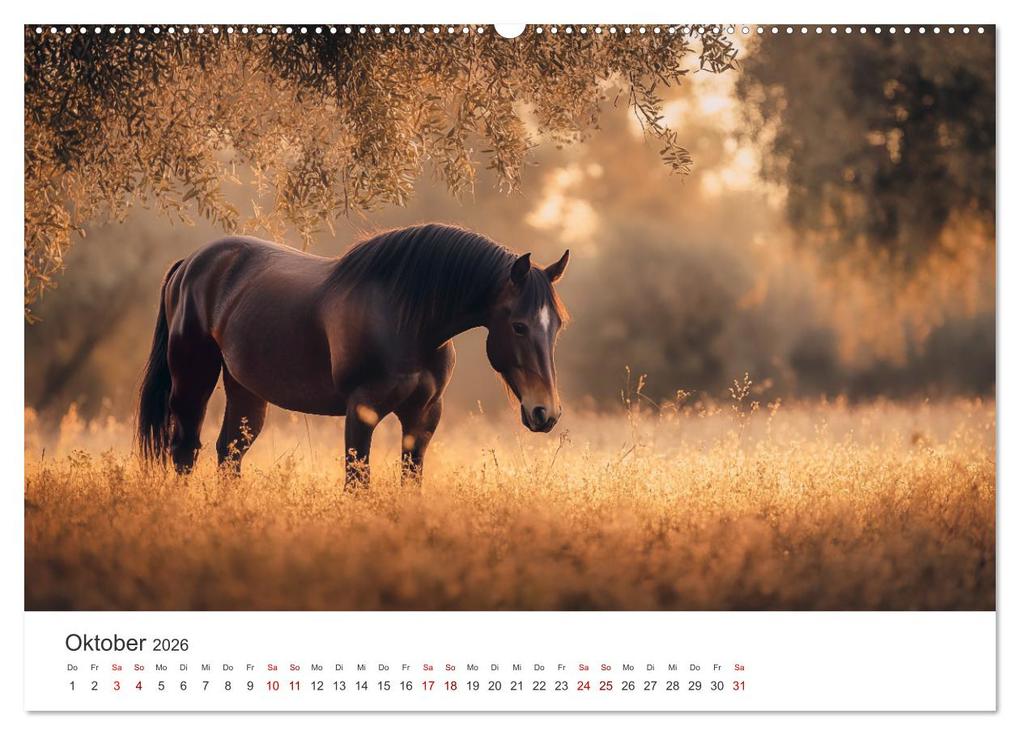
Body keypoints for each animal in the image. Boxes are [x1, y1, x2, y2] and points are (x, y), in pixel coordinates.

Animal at [137, 223, 570, 487]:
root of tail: (189, 264)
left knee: (229, 454)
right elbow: (356, 482)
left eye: (557, 327)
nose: (545, 413)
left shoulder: (423, 416)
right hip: (192, 379)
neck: (407, 318)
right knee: (185, 451)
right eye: (519, 326)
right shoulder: (362, 411)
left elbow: (409, 481)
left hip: (245, 390)